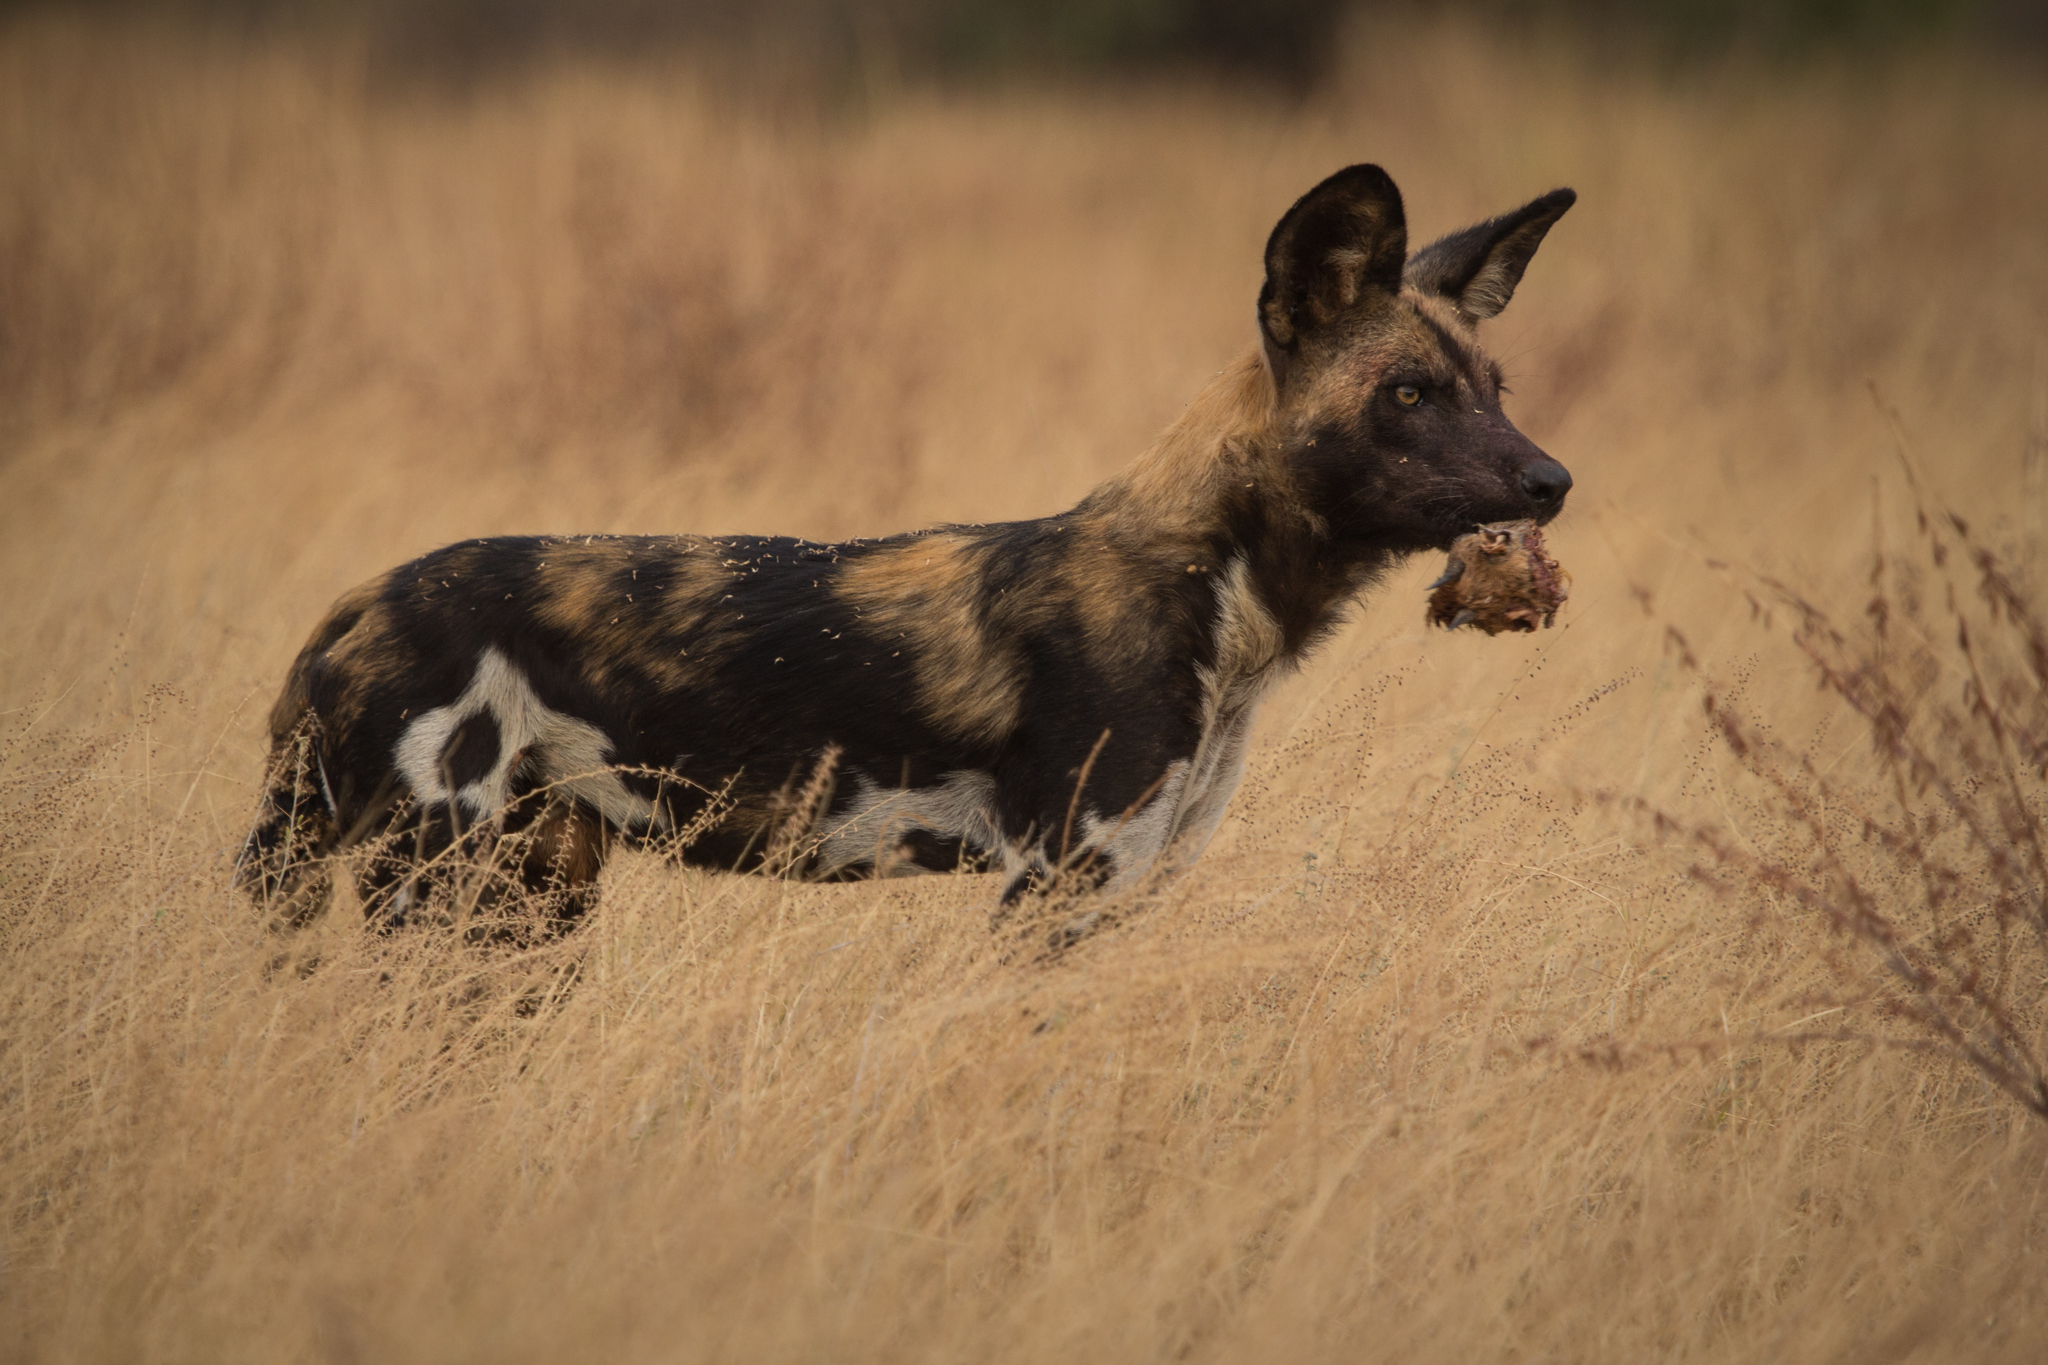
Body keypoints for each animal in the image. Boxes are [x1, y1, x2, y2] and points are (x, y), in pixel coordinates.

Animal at [243, 160, 1581, 929]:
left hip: (530, 910)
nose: (1550, 480)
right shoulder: (1061, 886)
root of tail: (363, 596)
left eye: (1494, 389)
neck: (1220, 591)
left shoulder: (1136, 884)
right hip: (434, 884)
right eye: (1406, 395)